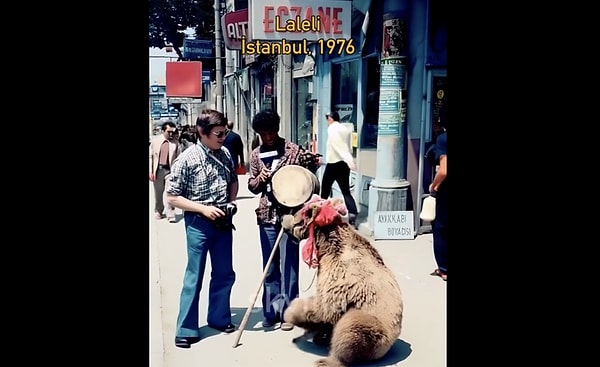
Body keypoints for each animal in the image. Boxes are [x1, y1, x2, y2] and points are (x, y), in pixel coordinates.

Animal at [282, 197, 404, 366]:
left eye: (296, 215)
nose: (283, 219)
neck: (326, 245)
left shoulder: (340, 279)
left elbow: (324, 307)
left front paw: (291, 313)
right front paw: (312, 332)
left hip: (374, 328)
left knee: (349, 330)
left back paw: (327, 359)